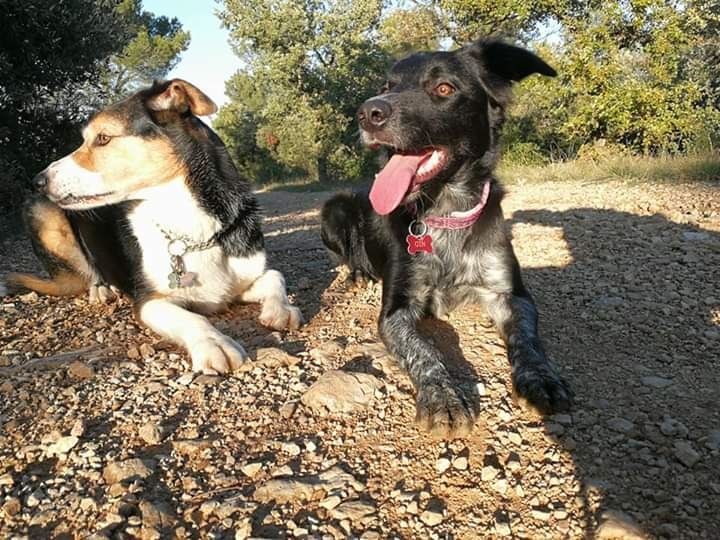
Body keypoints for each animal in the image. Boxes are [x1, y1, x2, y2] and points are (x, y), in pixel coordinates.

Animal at [1, 80, 302, 374]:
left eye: (103, 138)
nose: (38, 181)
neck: (189, 224)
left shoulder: (243, 279)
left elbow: (275, 275)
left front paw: (281, 308)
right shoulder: (150, 301)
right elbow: (191, 318)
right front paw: (214, 343)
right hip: (43, 213)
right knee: (87, 272)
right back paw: (101, 289)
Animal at [324, 39, 572, 438]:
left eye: (443, 89)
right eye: (387, 85)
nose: (367, 113)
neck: (445, 212)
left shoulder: (511, 293)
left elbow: (527, 338)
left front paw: (540, 378)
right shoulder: (396, 310)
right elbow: (423, 350)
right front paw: (443, 395)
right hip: (335, 208)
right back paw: (359, 274)